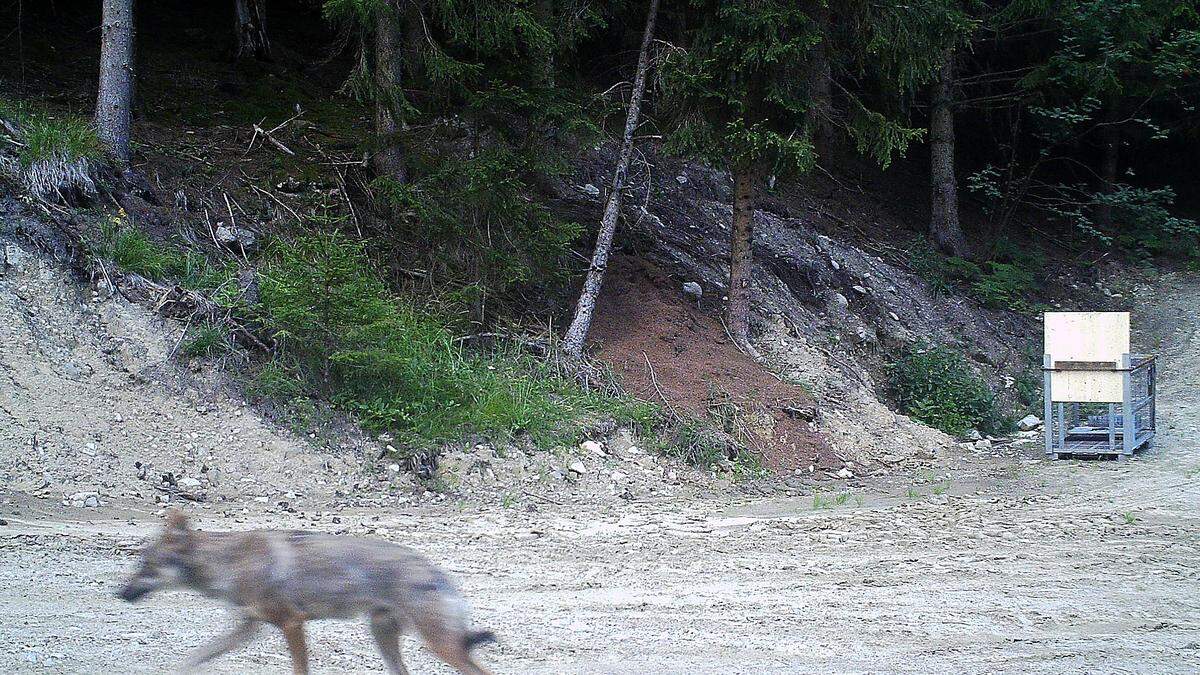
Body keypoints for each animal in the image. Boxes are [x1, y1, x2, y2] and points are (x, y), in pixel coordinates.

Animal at [118, 509, 496, 672]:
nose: (119, 594)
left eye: (146, 566)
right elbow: (194, 657)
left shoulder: (292, 623)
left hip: (438, 645)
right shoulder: (248, 627)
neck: (231, 564)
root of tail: (439, 570)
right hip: (384, 638)